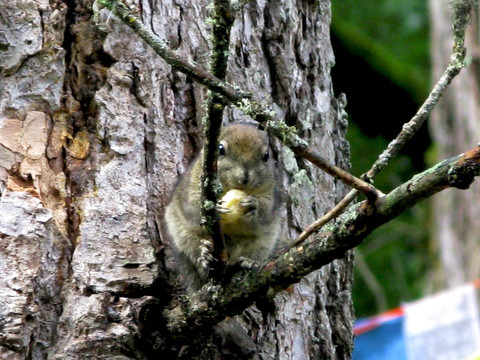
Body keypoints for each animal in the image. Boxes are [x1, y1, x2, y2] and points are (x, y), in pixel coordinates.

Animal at [164, 122, 280, 292]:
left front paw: (253, 205)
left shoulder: (271, 194)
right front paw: (216, 209)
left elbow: (265, 212)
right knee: (195, 254)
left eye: (266, 156)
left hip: (263, 243)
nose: (244, 178)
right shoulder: (191, 186)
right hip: (182, 236)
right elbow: (194, 207)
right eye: (220, 149)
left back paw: (247, 262)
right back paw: (205, 257)